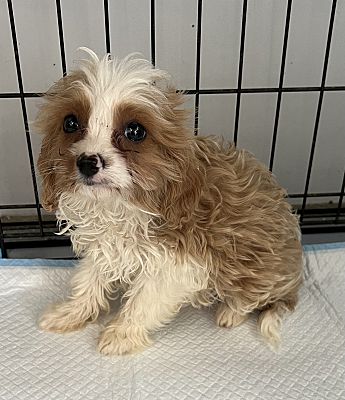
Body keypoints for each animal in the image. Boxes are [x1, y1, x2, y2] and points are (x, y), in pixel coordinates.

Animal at [36, 48, 302, 354]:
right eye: (70, 123)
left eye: (135, 131)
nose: (87, 162)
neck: (119, 206)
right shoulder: (105, 246)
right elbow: (89, 280)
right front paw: (72, 313)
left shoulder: (179, 262)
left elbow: (144, 300)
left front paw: (122, 334)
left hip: (257, 267)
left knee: (255, 296)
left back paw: (231, 312)